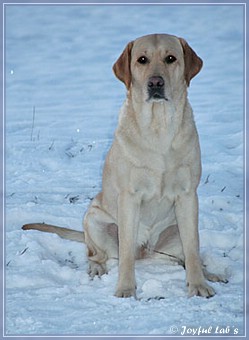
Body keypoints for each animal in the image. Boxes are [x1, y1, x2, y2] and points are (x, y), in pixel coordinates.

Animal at [23, 33, 226, 298]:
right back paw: (97, 269)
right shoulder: (129, 197)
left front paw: (198, 285)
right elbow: (126, 253)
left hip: (175, 229)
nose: (155, 83)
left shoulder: (187, 195)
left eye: (171, 58)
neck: (159, 128)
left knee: (186, 254)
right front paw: (126, 288)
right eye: (142, 60)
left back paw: (210, 273)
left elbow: (192, 249)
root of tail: (146, 251)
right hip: (95, 220)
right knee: (97, 254)